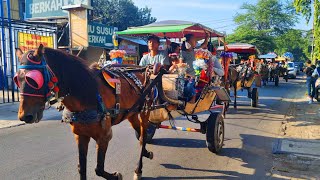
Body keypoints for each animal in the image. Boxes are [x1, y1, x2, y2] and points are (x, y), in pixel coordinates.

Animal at [14, 44, 155, 179]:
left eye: (33, 80)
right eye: (16, 80)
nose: (24, 116)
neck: (88, 94)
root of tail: (143, 70)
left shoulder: (104, 136)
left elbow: (98, 169)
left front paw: (116, 176)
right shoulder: (80, 135)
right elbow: (82, 168)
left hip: (145, 110)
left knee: (143, 136)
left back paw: (138, 169)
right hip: (131, 113)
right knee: (140, 135)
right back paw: (146, 153)